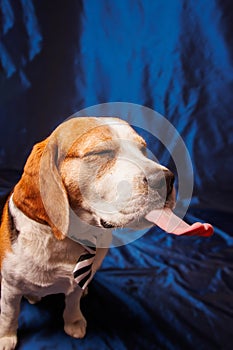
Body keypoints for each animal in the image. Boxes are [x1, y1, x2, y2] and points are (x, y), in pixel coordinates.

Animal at [0, 118, 175, 350]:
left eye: (143, 150)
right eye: (101, 152)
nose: (168, 179)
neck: (65, 241)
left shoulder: (75, 283)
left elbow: (73, 302)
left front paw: (73, 322)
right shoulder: (10, 288)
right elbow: (9, 314)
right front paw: (6, 337)